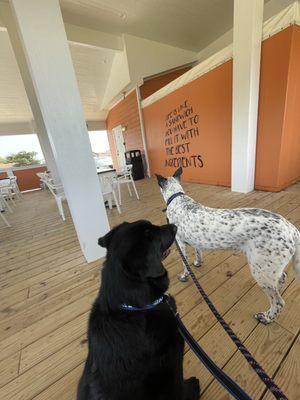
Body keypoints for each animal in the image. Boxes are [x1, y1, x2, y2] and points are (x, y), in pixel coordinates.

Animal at [76, 220, 200, 398]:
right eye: (152, 236)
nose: (174, 226)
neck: (132, 308)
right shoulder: (174, 357)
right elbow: (180, 387)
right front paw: (193, 388)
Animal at [156, 167, 300, 324]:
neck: (177, 199)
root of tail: (292, 230)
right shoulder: (195, 240)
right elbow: (198, 252)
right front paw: (197, 263)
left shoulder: (180, 243)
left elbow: (184, 264)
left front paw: (184, 276)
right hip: (269, 270)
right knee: (281, 279)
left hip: (260, 270)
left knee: (278, 302)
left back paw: (266, 317)